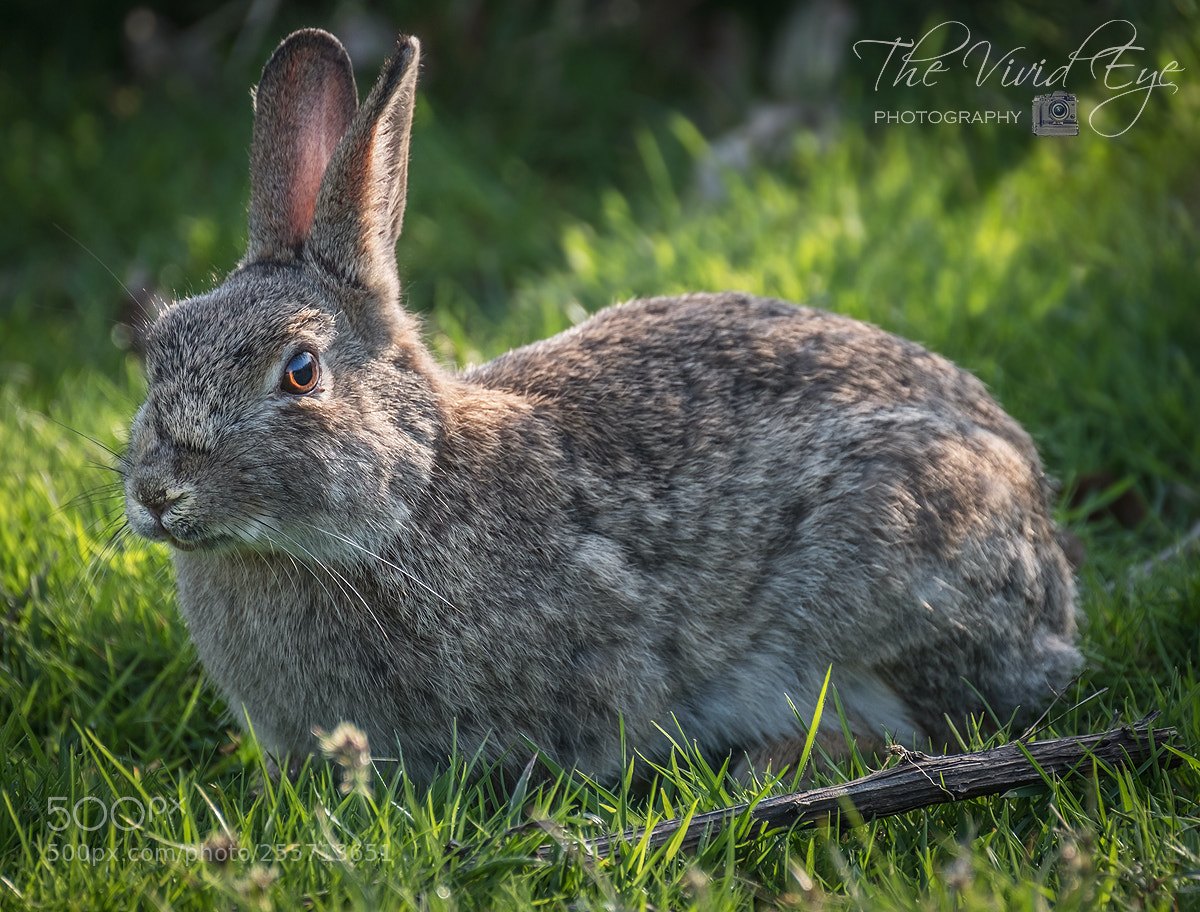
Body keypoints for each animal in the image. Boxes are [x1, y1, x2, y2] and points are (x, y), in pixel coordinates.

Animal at [122, 28, 1081, 784]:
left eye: (300, 371)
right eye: (158, 346)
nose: (158, 493)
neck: (413, 494)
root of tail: (1048, 574)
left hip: (884, 568)